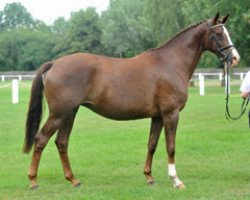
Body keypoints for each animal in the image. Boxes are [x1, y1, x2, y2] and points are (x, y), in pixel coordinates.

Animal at [23, 12, 240, 189]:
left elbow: (152, 144)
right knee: (40, 140)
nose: (235, 58)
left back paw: (73, 180)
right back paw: (33, 181)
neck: (170, 63)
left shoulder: (158, 116)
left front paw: (149, 177)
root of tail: (54, 64)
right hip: (59, 114)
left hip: (70, 113)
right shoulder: (171, 114)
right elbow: (170, 146)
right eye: (218, 33)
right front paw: (176, 180)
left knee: (61, 142)